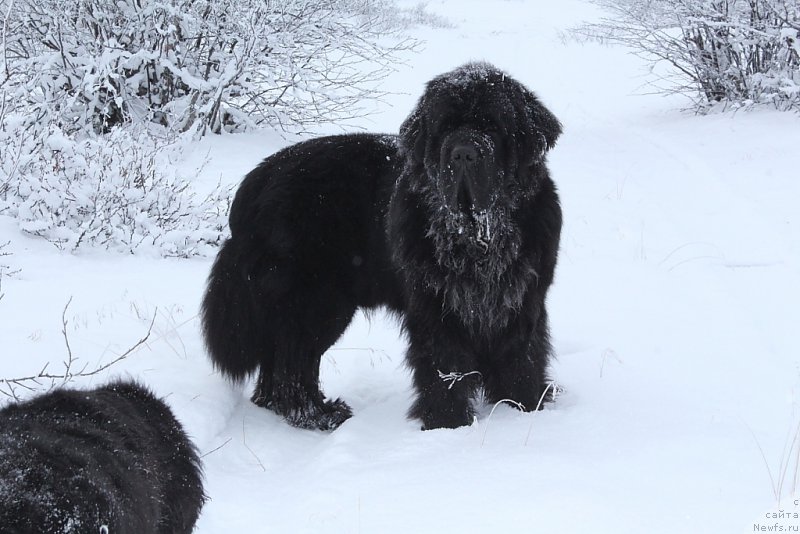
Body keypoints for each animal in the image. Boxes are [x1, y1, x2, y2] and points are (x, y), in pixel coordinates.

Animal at [200, 62, 564, 432]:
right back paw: (320, 415)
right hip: (316, 302)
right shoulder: (435, 307)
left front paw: (524, 409)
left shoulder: (521, 300)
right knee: (294, 364)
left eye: (492, 125)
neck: (477, 239)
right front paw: (448, 424)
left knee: (277, 368)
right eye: (445, 127)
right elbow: (444, 366)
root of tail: (253, 183)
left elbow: (523, 358)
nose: (463, 153)